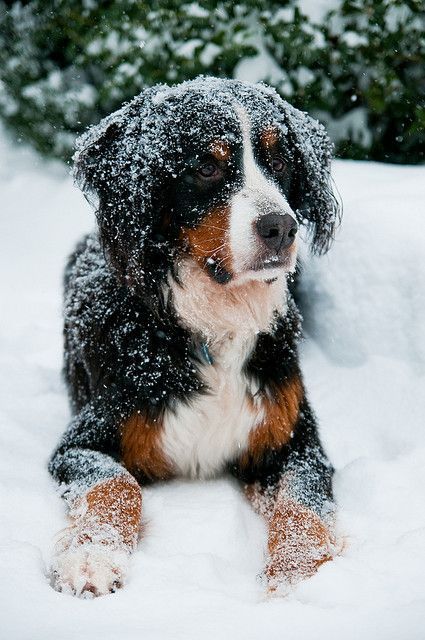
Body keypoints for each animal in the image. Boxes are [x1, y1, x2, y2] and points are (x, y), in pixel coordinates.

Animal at [48, 77, 342, 596]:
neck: (213, 324)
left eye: (281, 162)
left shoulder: (296, 442)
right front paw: (91, 557)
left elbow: (302, 507)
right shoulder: (82, 441)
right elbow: (115, 484)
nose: (280, 227)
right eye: (206, 167)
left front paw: (290, 580)